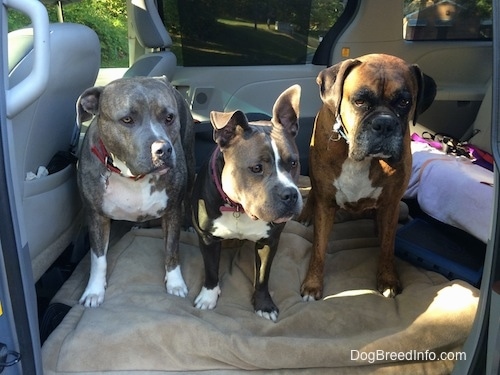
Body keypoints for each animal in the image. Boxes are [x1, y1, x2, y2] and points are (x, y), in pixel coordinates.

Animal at [76, 76, 195, 308]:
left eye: (169, 117)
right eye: (127, 119)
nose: (163, 150)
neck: (132, 176)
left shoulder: (173, 210)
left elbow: (172, 248)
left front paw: (175, 283)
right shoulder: (96, 216)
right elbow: (98, 258)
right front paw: (94, 291)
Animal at [190, 85, 300, 324]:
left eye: (293, 163)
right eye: (257, 168)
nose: (290, 195)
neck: (238, 208)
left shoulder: (269, 242)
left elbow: (263, 276)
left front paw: (264, 305)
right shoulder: (207, 238)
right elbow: (211, 269)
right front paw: (208, 296)